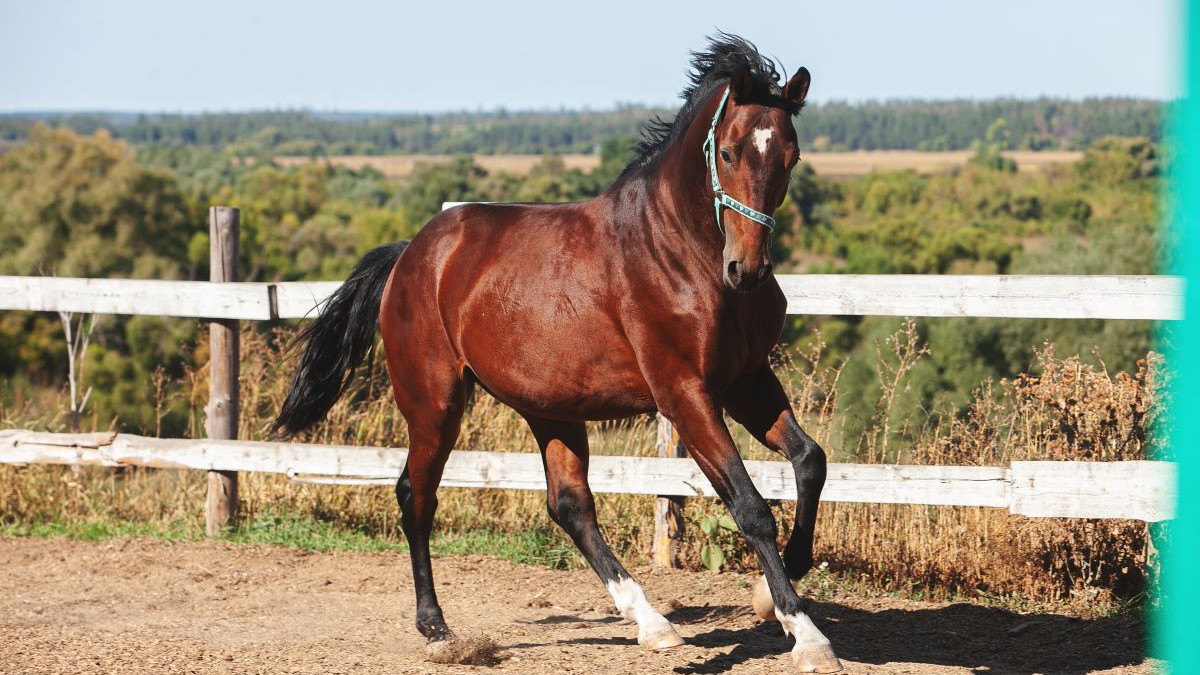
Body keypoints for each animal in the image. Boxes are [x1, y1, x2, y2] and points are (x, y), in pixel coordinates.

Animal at [272, 33, 842, 673]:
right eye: (727, 152)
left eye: (791, 156)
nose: (746, 270)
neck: (678, 250)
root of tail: (411, 254)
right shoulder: (685, 394)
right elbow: (750, 506)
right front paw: (805, 633)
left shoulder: (746, 381)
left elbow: (811, 460)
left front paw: (773, 593)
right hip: (435, 404)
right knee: (416, 496)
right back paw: (437, 627)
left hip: (551, 408)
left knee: (569, 506)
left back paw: (653, 625)